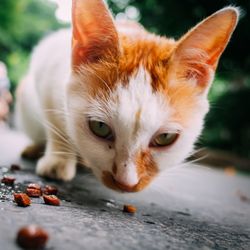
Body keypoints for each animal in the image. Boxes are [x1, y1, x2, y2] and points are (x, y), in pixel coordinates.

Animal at [14, 0, 239, 192]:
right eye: (99, 127)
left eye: (166, 137)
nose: (126, 182)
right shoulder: (47, 64)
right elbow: (56, 123)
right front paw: (59, 160)